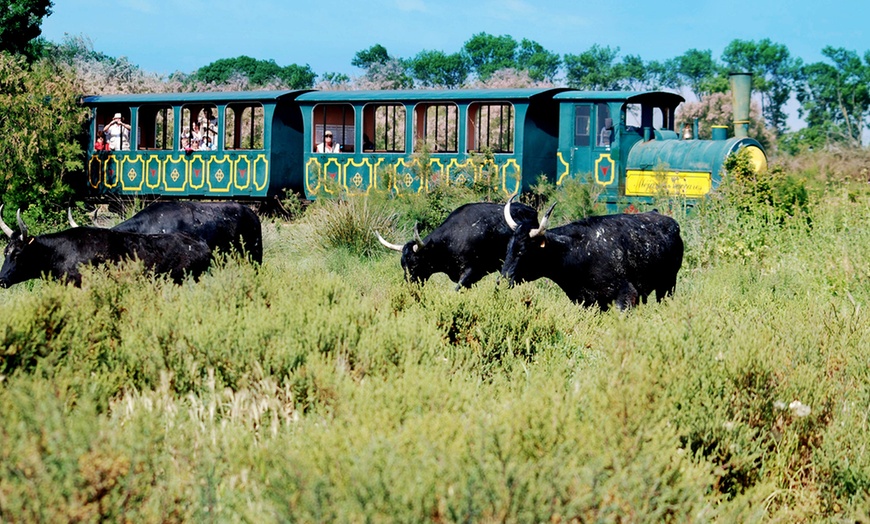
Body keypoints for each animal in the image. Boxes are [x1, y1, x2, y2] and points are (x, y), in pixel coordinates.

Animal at [500, 199, 684, 310]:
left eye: (522, 251)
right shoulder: (586, 301)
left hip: (667, 285)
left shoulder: (627, 295)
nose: (501, 280)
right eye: (508, 247)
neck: (577, 251)